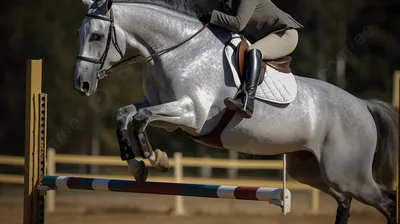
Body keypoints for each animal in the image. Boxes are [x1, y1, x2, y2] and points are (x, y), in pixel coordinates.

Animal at [73, 0, 398, 222]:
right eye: (80, 33)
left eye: (96, 36)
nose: (82, 84)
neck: (176, 50)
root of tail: (364, 105)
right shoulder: (163, 108)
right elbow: (124, 114)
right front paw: (136, 166)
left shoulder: (191, 115)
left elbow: (141, 118)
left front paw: (156, 159)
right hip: (312, 171)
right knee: (345, 201)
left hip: (347, 173)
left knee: (387, 201)